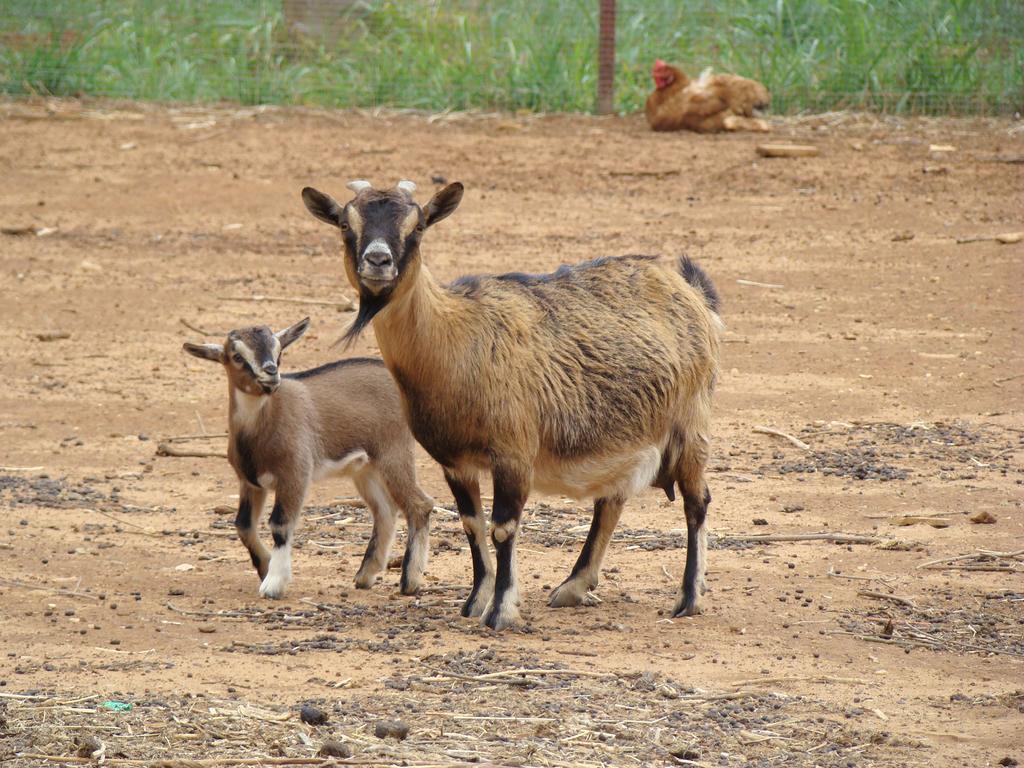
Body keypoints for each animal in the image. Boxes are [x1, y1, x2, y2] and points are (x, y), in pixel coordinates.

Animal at [184, 319, 432, 602]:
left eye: (279, 352)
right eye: (237, 356)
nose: (271, 373)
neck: (261, 426)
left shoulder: (294, 474)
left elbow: (280, 524)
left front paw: (274, 584)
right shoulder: (250, 482)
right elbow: (243, 525)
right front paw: (265, 567)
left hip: (394, 454)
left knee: (420, 505)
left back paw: (410, 581)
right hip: (365, 469)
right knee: (385, 510)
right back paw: (365, 575)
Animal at [301, 179, 720, 630]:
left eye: (419, 226)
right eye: (346, 224)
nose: (378, 261)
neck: (453, 338)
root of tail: (691, 291)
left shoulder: (513, 452)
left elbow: (503, 527)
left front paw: (501, 610)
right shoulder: (456, 463)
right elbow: (471, 524)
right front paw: (474, 601)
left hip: (691, 424)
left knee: (696, 501)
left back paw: (688, 597)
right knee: (612, 499)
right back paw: (573, 586)